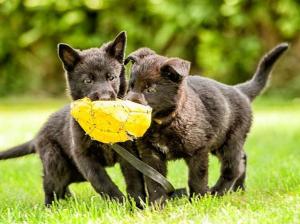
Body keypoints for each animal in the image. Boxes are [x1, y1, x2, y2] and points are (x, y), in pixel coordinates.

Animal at [0, 32, 145, 206]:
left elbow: (134, 180)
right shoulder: (83, 156)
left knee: (61, 188)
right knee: (51, 186)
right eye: (88, 80)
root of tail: (37, 137)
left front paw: (138, 205)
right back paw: (51, 207)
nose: (105, 98)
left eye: (111, 77)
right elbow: (102, 182)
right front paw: (119, 202)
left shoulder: (128, 152)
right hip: (55, 161)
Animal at [124, 43, 288, 205]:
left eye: (150, 89)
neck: (164, 122)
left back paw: (218, 192)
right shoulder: (151, 154)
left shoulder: (199, 151)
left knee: (234, 168)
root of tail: (239, 90)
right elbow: (154, 183)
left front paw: (198, 201)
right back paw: (238, 189)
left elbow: (197, 179)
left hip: (231, 141)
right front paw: (157, 206)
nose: (126, 106)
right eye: (130, 86)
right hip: (219, 142)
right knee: (242, 158)